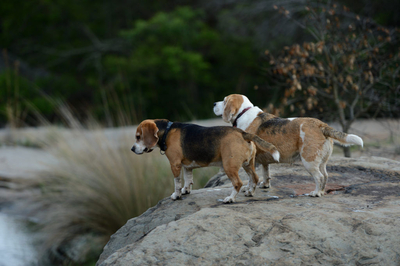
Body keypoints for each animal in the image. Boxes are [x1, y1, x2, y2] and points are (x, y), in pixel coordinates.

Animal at [131, 119, 278, 203]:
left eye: (138, 137)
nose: (132, 149)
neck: (167, 130)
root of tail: (243, 133)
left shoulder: (175, 165)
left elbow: (177, 183)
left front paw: (176, 195)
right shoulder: (187, 166)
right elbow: (188, 180)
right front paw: (186, 191)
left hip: (229, 166)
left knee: (238, 183)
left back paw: (230, 199)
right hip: (248, 164)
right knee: (255, 177)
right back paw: (250, 192)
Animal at [214, 94, 364, 196]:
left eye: (225, 100)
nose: (214, 103)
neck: (243, 113)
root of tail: (321, 125)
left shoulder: (252, 161)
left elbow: (251, 178)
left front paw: (249, 190)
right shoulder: (263, 161)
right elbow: (265, 173)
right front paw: (264, 185)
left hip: (308, 161)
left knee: (319, 177)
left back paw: (315, 193)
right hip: (321, 161)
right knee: (325, 176)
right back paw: (321, 192)